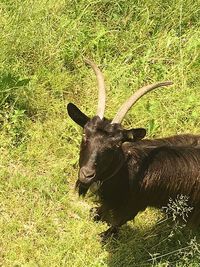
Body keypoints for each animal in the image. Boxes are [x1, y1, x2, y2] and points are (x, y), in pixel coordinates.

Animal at [67, 59, 200, 240]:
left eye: (116, 145)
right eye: (84, 135)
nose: (87, 174)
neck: (127, 169)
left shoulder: (133, 205)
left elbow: (117, 223)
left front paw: (105, 236)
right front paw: (96, 214)